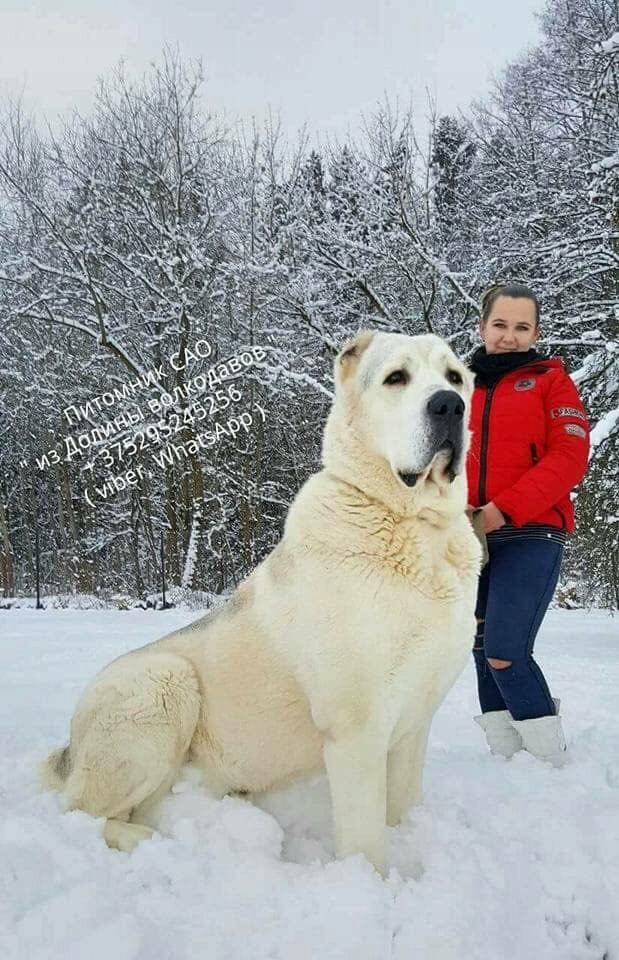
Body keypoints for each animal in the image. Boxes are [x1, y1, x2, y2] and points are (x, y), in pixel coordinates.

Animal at [41, 332, 482, 876]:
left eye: (455, 378)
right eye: (396, 377)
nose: (449, 405)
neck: (417, 527)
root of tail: (69, 746)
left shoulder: (412, 724)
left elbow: (400, 810)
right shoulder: (356, 730)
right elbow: (366, 840)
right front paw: (375, 886)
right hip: (163, 681)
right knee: (81, 813)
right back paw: (162, 843)